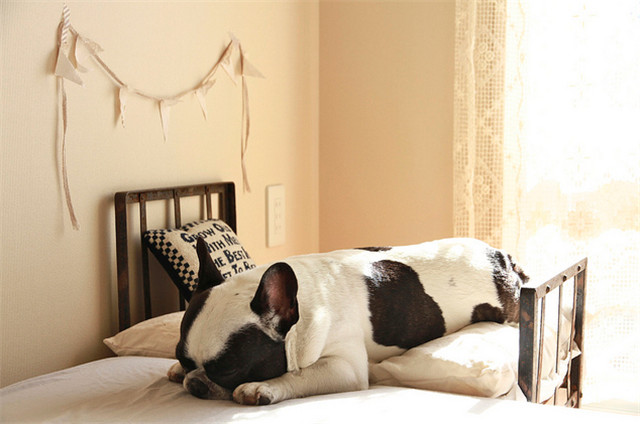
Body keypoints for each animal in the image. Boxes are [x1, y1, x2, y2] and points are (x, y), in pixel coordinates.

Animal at [167, 237, 527, 405]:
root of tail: (503, 257)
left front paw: (263, 387)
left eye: (229, 370)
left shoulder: (344, 368)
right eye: (182, 359)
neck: (301, 306)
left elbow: (301, 376)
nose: (196, 383)